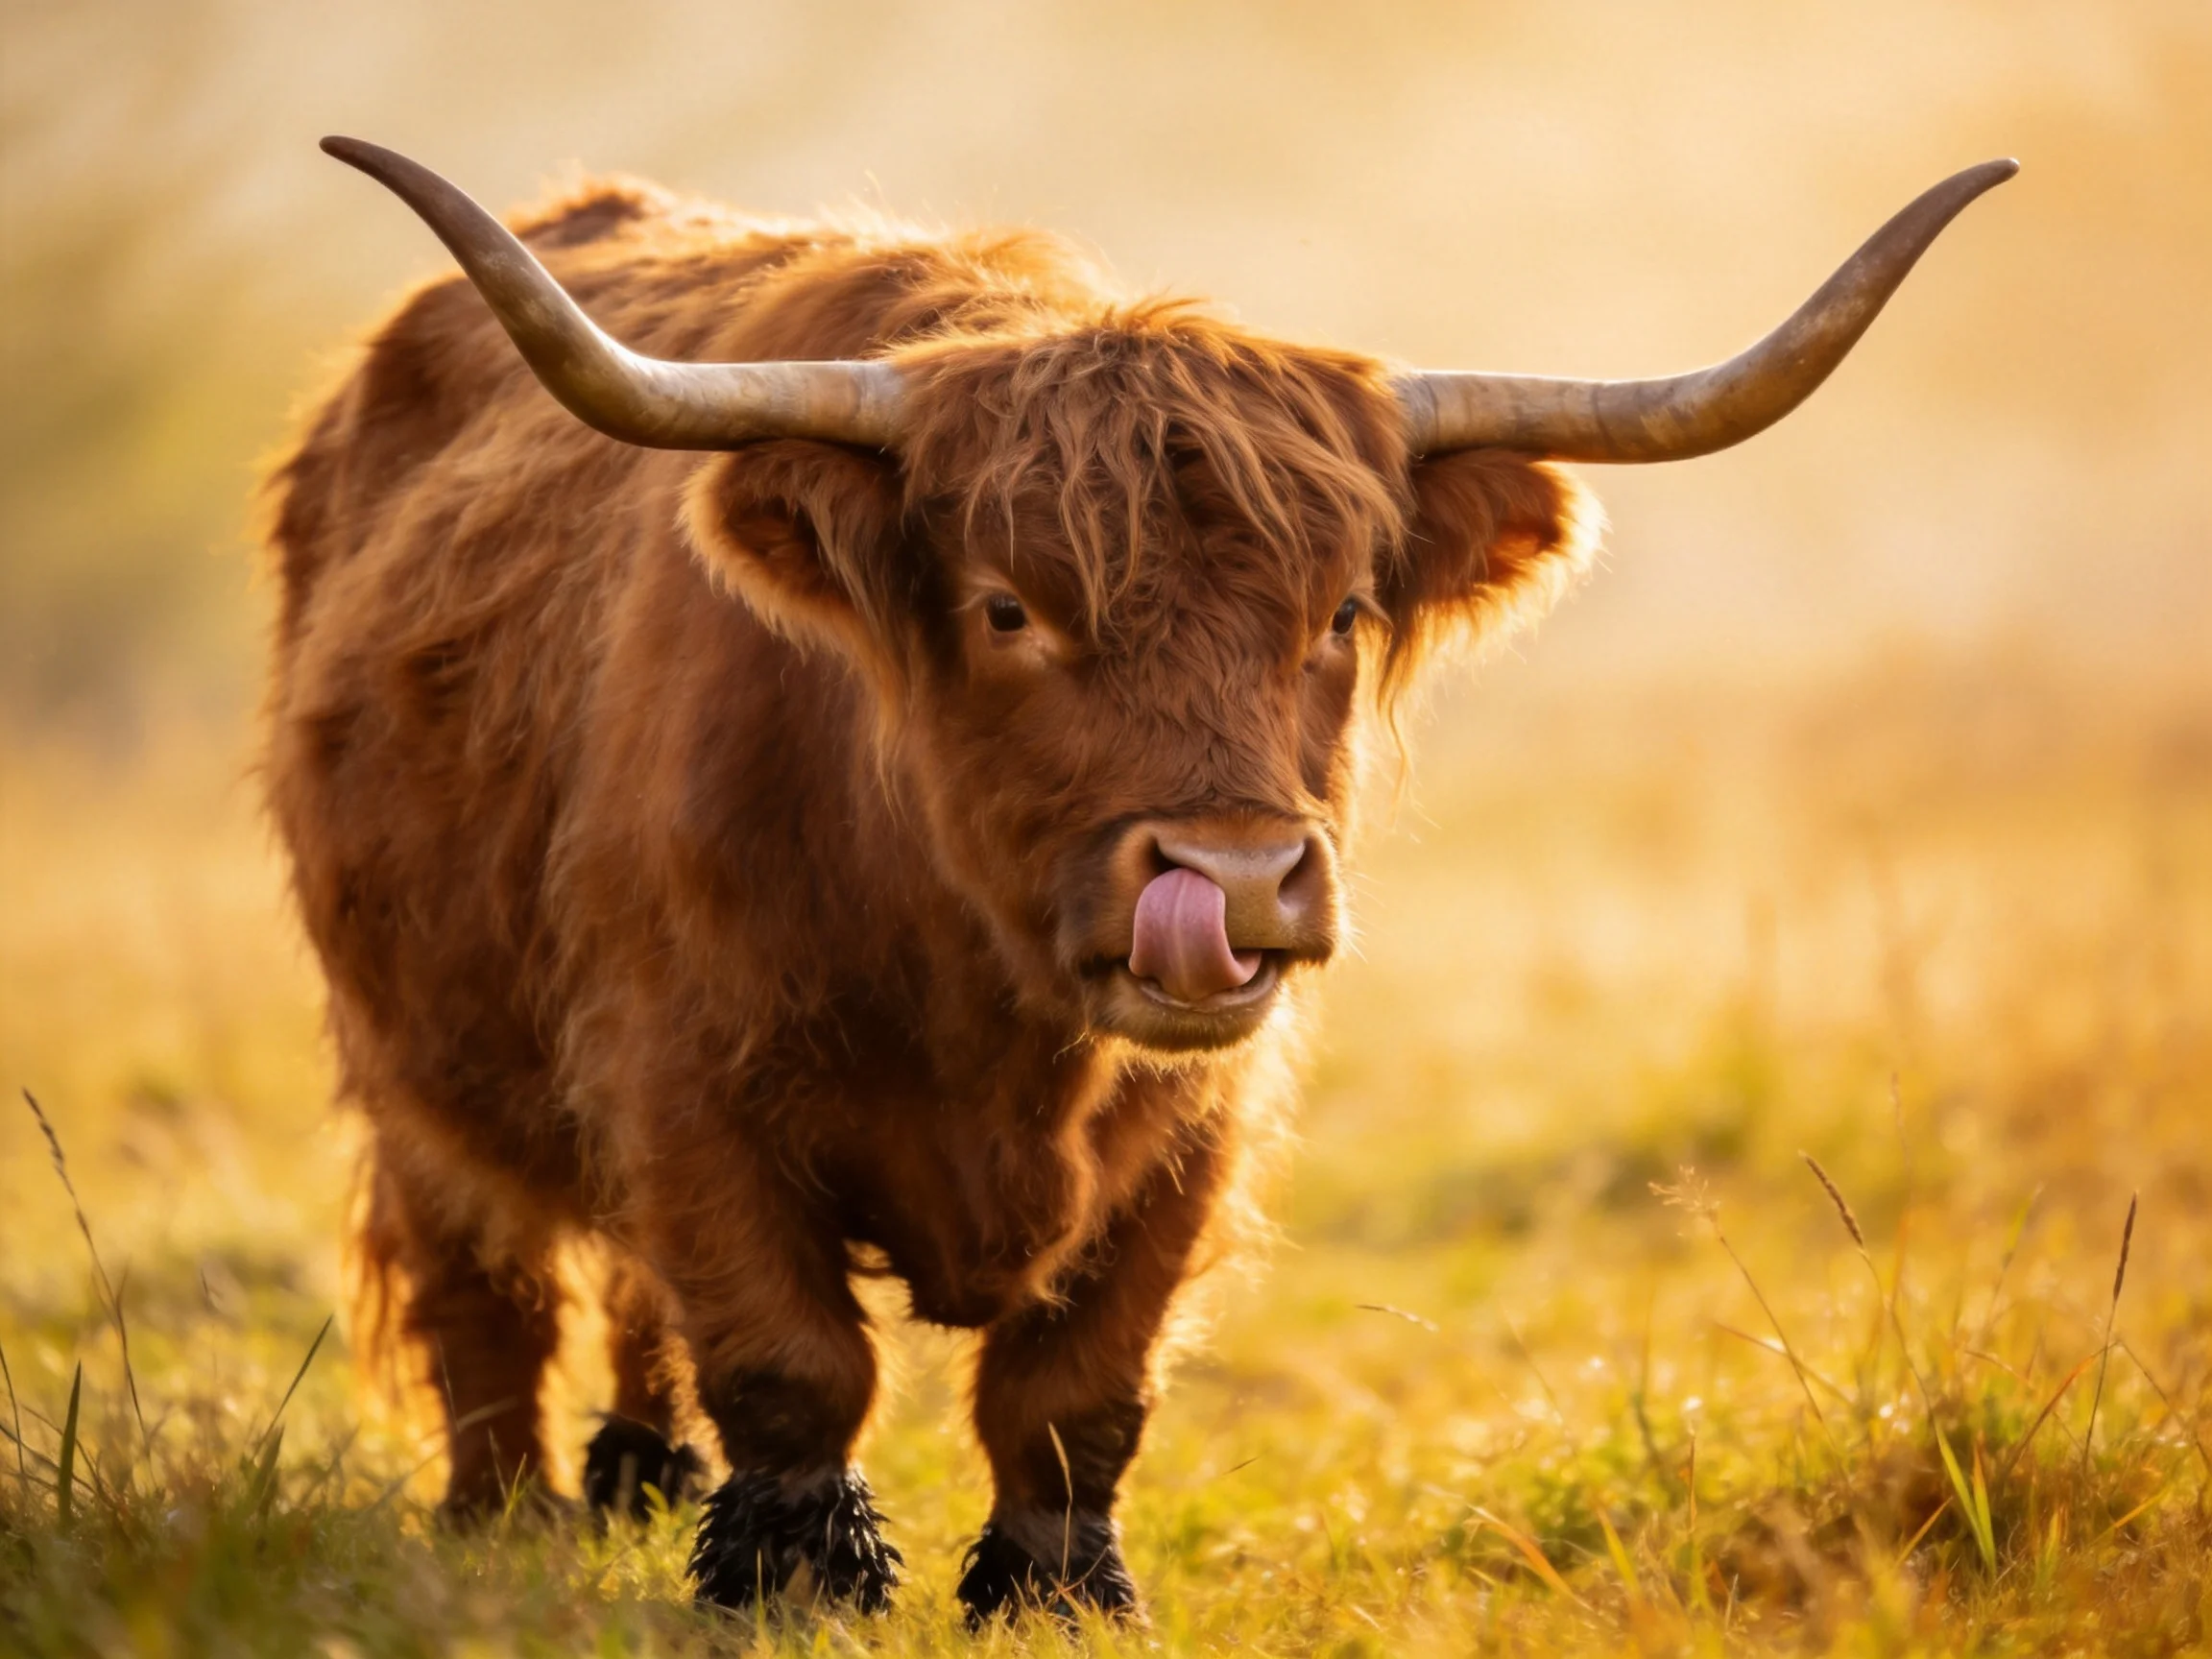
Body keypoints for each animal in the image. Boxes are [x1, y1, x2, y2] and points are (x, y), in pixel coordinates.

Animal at [264, 136, 2011, 1621]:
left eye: (1337, 613)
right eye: (1005, 608)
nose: (1232, 876)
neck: (980, 996)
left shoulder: (1194, 1118)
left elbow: (1074, 1391)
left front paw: (1054, 1591)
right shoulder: (681, 1072)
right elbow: (787, 1359)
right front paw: (796, 1582)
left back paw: (639, 1475)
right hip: (398, 1044)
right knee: (483, 1285)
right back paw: (501, 1521)